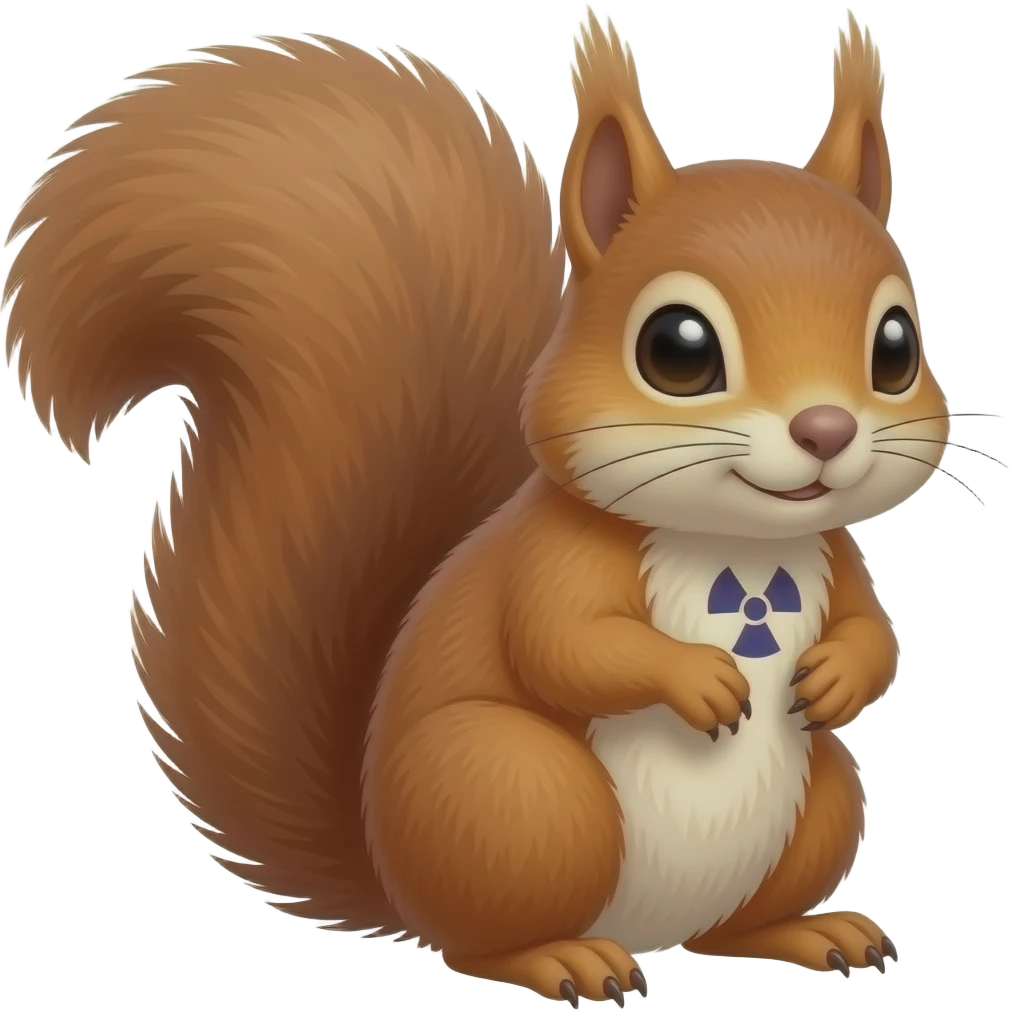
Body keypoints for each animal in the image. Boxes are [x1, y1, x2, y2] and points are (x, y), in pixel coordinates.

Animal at [4, 6, 948, 1004]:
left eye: (896, 346)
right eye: (678, 349)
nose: (825, 429)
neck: (732, 544)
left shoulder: (836, 555)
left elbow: (877, 636)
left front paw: (837, 674)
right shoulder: (557, 557)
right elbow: (565, 643)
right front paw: (698, 678)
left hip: (820, 797)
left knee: (733, 922)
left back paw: (812, 930)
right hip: (516, 792)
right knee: (481, 941)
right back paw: (563, 958)